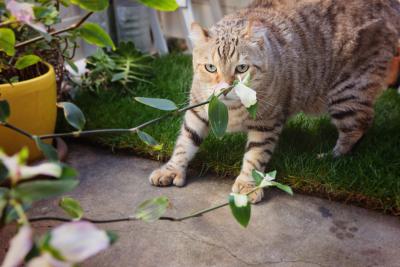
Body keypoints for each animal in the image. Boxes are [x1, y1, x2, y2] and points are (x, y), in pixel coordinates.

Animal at [148, 0, 400, 202]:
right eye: (211, 67)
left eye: (242, 68)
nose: (226, 88)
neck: (231, 109)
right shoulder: (199, 110)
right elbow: (185, 142)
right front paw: (172, 169)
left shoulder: (266, 122)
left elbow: (255, 155)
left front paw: (248, 185)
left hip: (347, 93)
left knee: (357, 127)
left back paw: (330, 157)